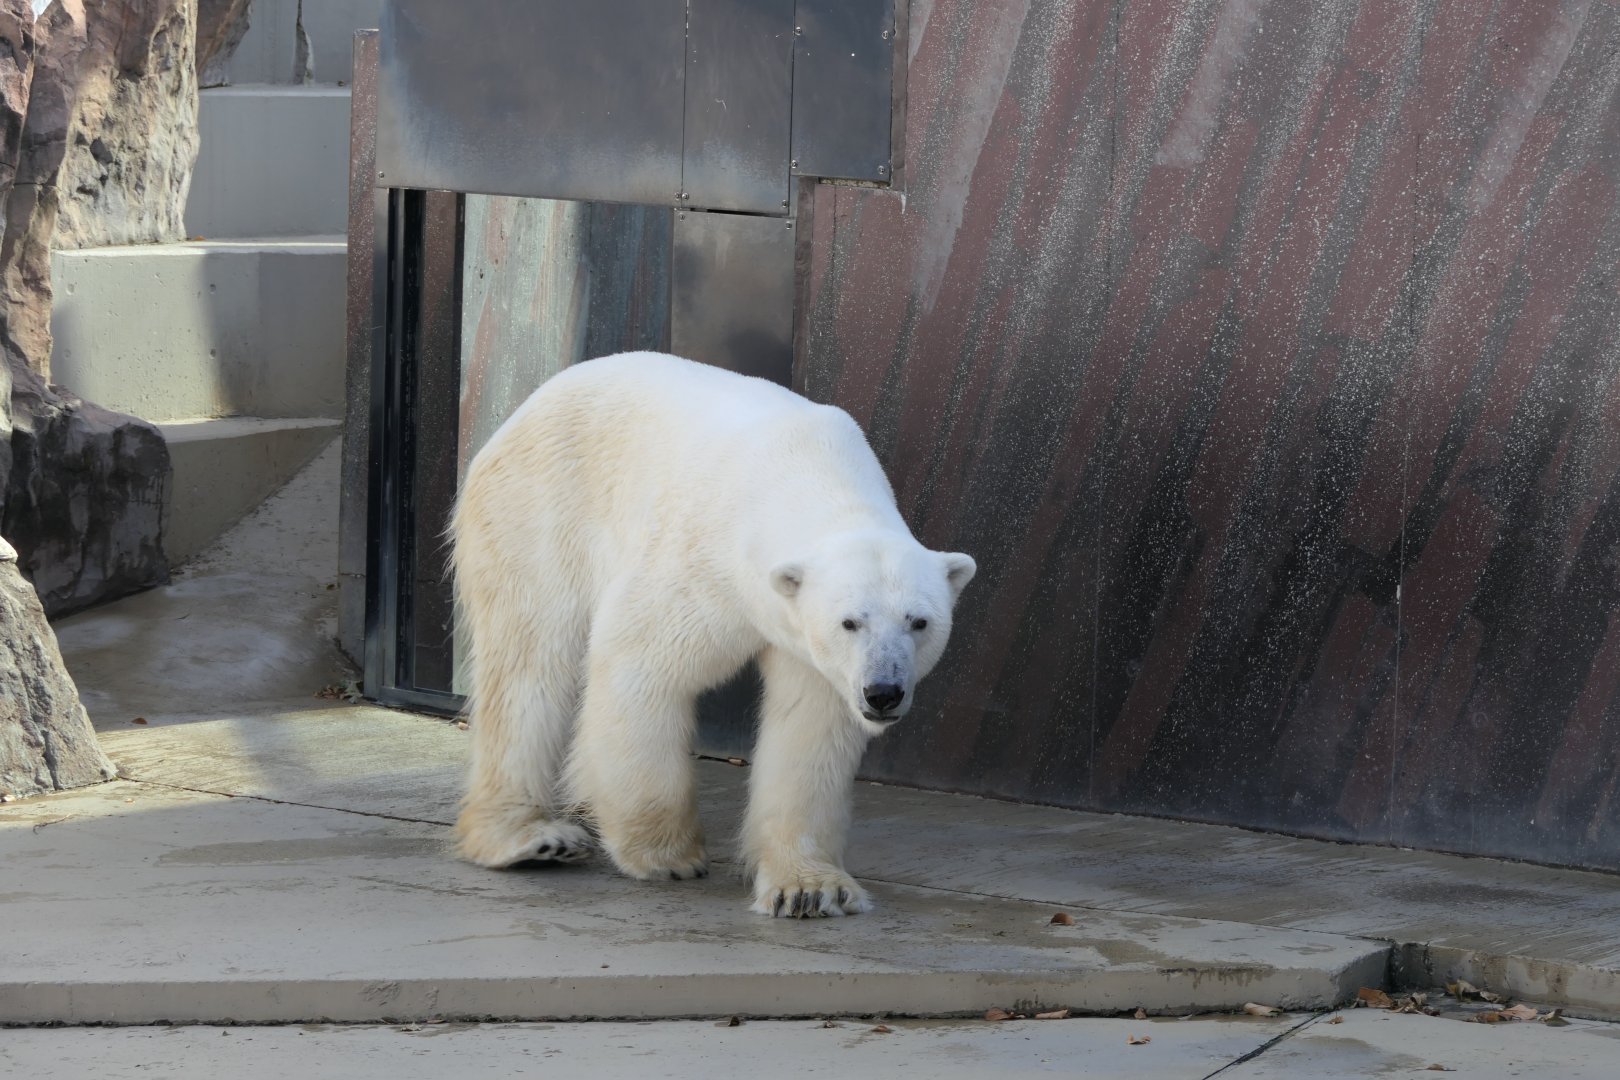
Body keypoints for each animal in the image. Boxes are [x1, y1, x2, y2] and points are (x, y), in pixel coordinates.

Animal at [449, 351, 975, 917]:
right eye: (850, 621)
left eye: (919, 622)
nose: (882, 693)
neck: (805, 470)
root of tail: (522, 410)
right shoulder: (702, 559)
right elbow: (641, 663)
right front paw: (666, 855)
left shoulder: (810, 650)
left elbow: (809, 726)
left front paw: (809, 889)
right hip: (538, 511)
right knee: (529, 659)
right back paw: (530, 839)